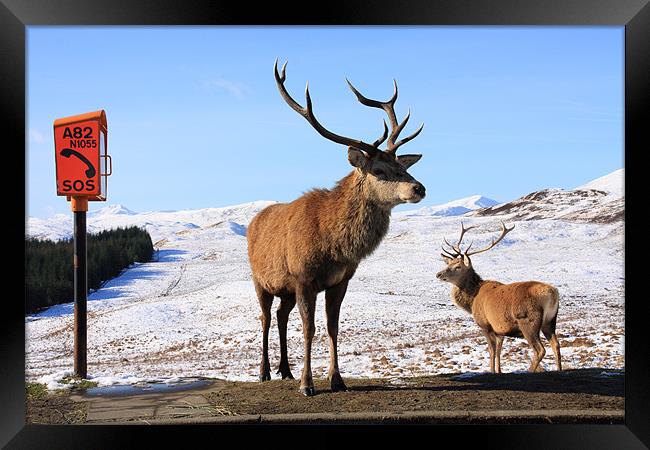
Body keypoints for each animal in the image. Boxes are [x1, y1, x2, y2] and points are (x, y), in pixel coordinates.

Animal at [438, 221, 560, 372]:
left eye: (458, 267)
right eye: (449, 263)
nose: (438, 274)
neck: (472, 301)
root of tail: (553, 293)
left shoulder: (485, 324)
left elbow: (491, 350)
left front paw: (491, 371)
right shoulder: (500, 330)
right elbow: (498, 351)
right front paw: (499, 371)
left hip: (528, 321)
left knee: (540, 349)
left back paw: (530, 370)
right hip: (550, 320)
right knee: (556, 344)